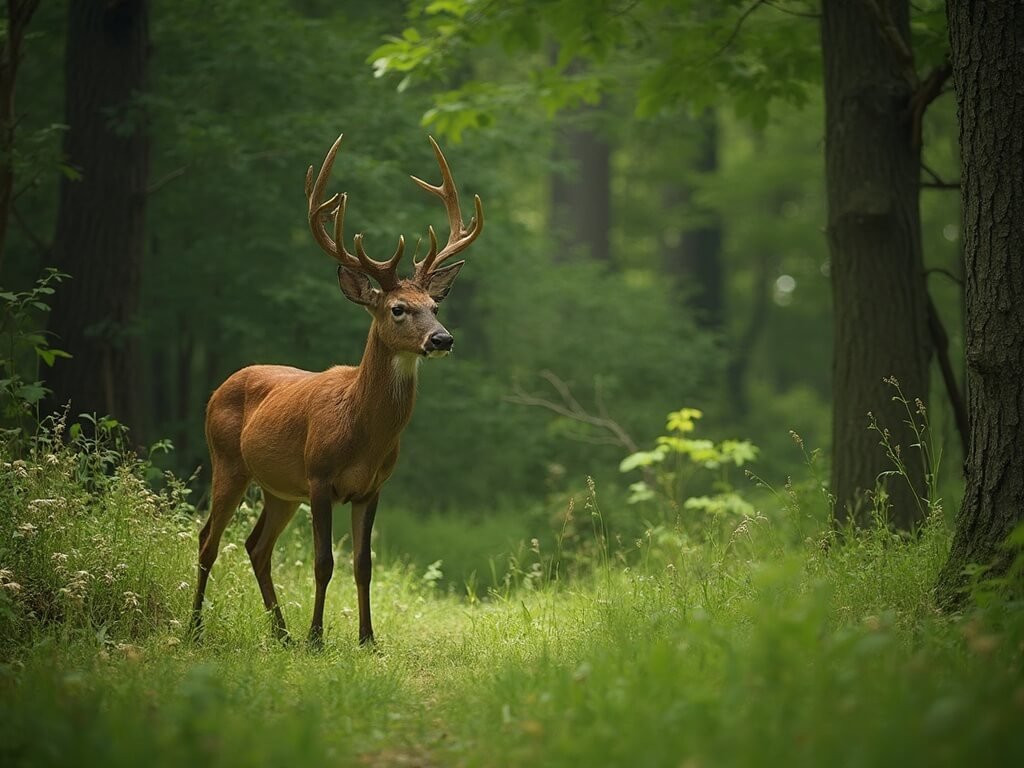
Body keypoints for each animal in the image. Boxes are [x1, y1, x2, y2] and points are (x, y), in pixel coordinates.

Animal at [188, 134, 483, 646]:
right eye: (399, 309)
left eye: (434, 305)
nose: (442, 339)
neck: (363, 432)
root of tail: (220, 385)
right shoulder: (319, 475)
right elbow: (324, 563)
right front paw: (317, 638)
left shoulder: (372, 487)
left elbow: (363, 565)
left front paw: (367, 638)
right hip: (227, 461)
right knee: (209, 539)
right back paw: (196, 629)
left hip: (279, 489)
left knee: (256, 545)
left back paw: (280, 633)